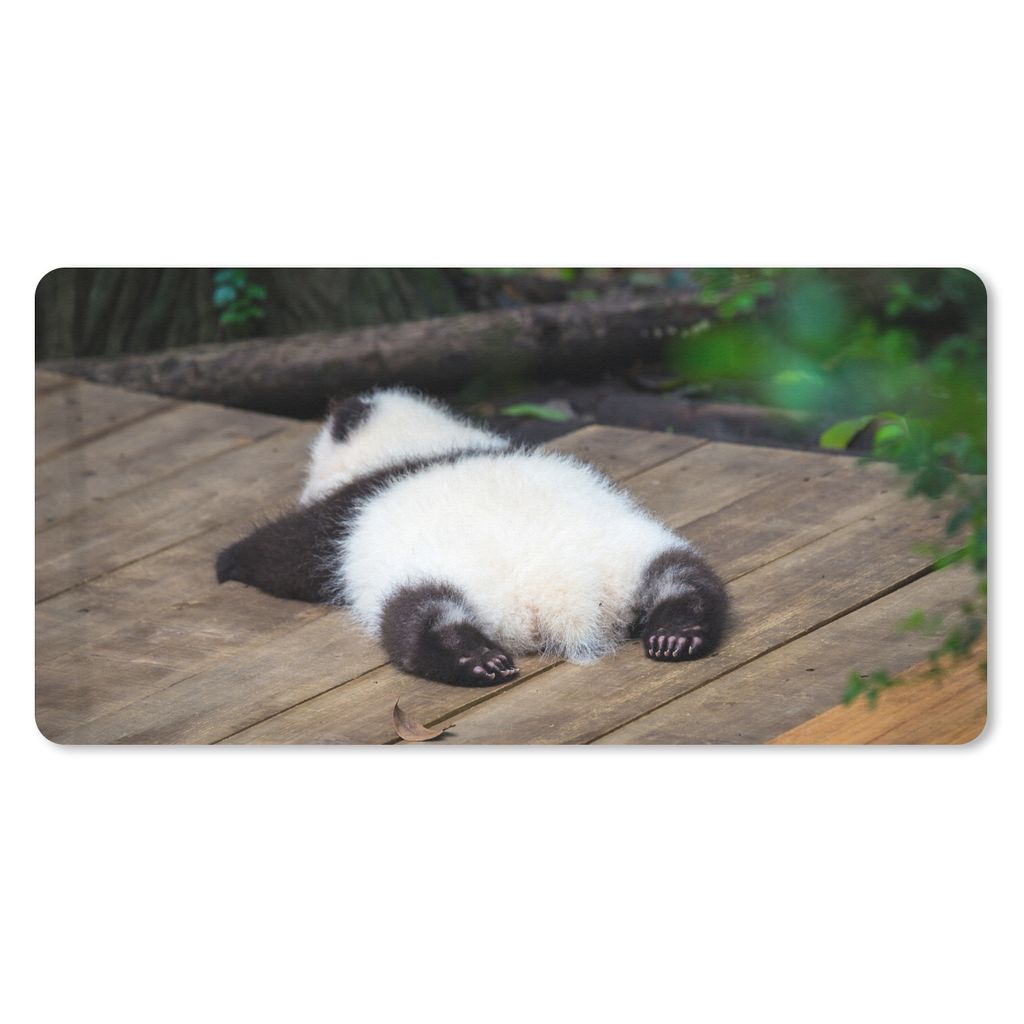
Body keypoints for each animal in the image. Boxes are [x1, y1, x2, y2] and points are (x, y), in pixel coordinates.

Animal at [215, 388, 728, 685]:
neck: (422, 443)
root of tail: (561, 595)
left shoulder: (345, 512)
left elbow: (289, 554)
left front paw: (229, 561)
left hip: (431, 578)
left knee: (416, 616)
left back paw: (474, 660)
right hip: (632, 550)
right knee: (685, 577)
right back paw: (677, 633)